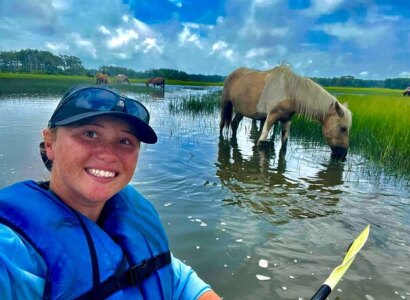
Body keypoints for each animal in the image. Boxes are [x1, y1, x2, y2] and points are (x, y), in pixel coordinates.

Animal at [221, 66, 352, 158]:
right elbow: (261, 142)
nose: (343, 154)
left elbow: (284, 144)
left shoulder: (286, 120)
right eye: (343, 128)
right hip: (226, 103)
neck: (289, 91)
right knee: (222, 125)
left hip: (240, 110)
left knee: (234, 124)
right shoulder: (271, 117)